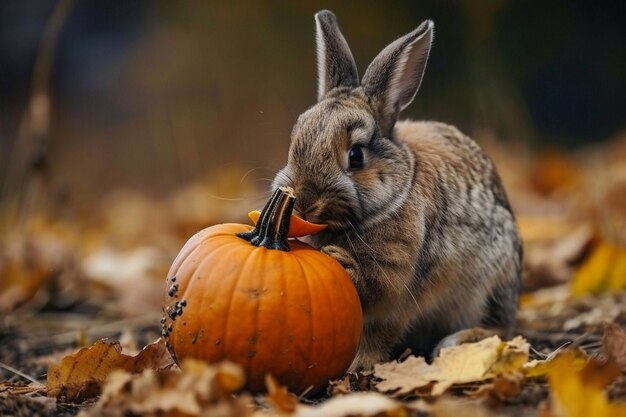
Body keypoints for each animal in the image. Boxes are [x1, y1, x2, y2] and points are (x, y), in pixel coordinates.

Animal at [270, 9, 520, 368]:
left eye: (356, 156)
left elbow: (379, 327)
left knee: (502, 328)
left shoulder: (397, 287)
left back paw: (456, 341)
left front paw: (359, 362)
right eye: (295, 141)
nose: (304, 200)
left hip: (489, 285)